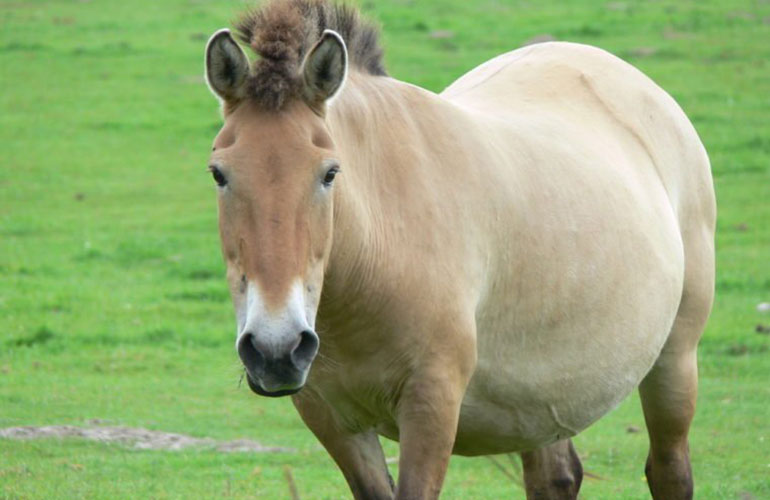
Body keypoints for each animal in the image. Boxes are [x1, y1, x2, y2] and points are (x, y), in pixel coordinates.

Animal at [201, 1, 715, 498]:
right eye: (219, 173)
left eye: (329, 173)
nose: (276, 347)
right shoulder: (331, 419)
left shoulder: (432, 404)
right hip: (540, 401)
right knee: (556, 477)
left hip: (674, 363)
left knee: (670, 471)